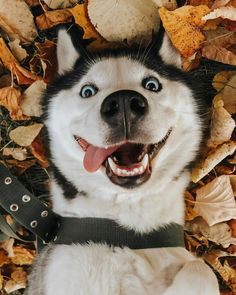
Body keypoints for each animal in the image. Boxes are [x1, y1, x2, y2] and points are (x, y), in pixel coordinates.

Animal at [26, 28, 220, 295]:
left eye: (152, 84)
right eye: (87, 91)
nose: (124, 102)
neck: (128, 233)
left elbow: (200, 268)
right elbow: (200, 267)